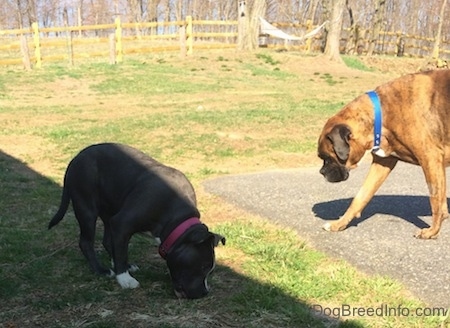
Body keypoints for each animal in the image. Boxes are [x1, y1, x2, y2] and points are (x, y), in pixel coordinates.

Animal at [48, 142, 225, 298]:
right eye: (202, 266)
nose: (205, 292)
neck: (176, 220)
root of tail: (76, 158)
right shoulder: (122, 223)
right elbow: (121, 251)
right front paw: (124, 278)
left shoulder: (119, 224)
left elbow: (119, 248)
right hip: (87, 208)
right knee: (86, 242)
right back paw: (101, 270)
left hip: (109, 210)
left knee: (107, 240)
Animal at [316, 70, 450, 238]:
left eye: (327, 158)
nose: (321, 172)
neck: (382, 113)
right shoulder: (382, 163)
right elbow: (360, 197)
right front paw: (339, 224)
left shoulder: (430, 159)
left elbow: (435, 199)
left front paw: (432, 231)